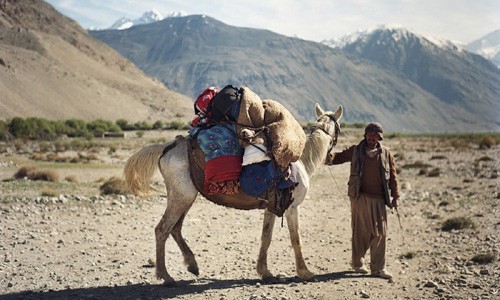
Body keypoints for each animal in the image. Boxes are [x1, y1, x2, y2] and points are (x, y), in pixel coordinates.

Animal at [125, 103, 344, 286]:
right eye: (339, 129)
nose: (331, 157)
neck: (301, 160)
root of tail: (168, 147)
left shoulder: (272, 207)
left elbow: (266, 237)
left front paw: (265, 272)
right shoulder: (292, 207)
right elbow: (295, 239)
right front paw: (305, 272)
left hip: (184, 197)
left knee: (175, 229)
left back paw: (192, 265)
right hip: (182, 197)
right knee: (162, 229)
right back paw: (166, 276)